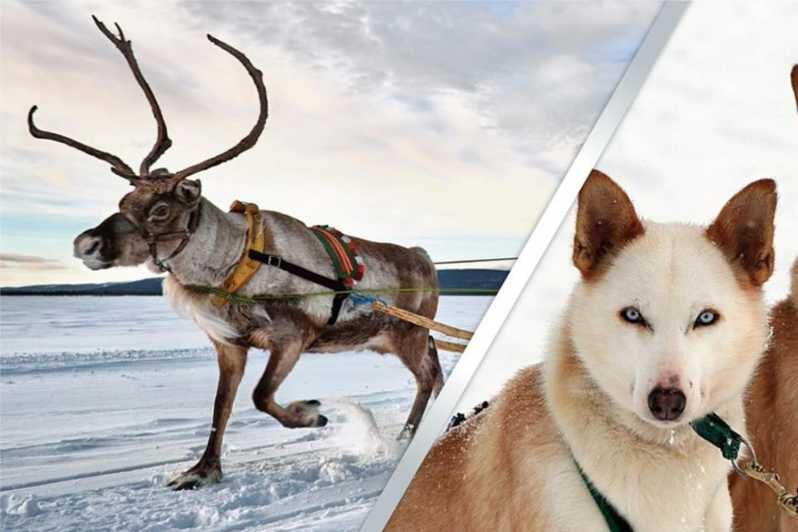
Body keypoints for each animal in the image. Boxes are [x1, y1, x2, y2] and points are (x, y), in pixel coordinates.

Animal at [28, 17, 443, 491]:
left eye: (161, 209)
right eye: (124, 200)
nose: (86, 244)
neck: (233, 264)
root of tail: (425, 258)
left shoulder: (293, 336)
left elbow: (261, 396)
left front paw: (312, 414)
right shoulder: (228, 345)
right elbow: (220, 407)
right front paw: (201, 471)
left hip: (406, 334)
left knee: (427, 376)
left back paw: (406, 438)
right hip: (401, 337)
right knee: (437, 366)